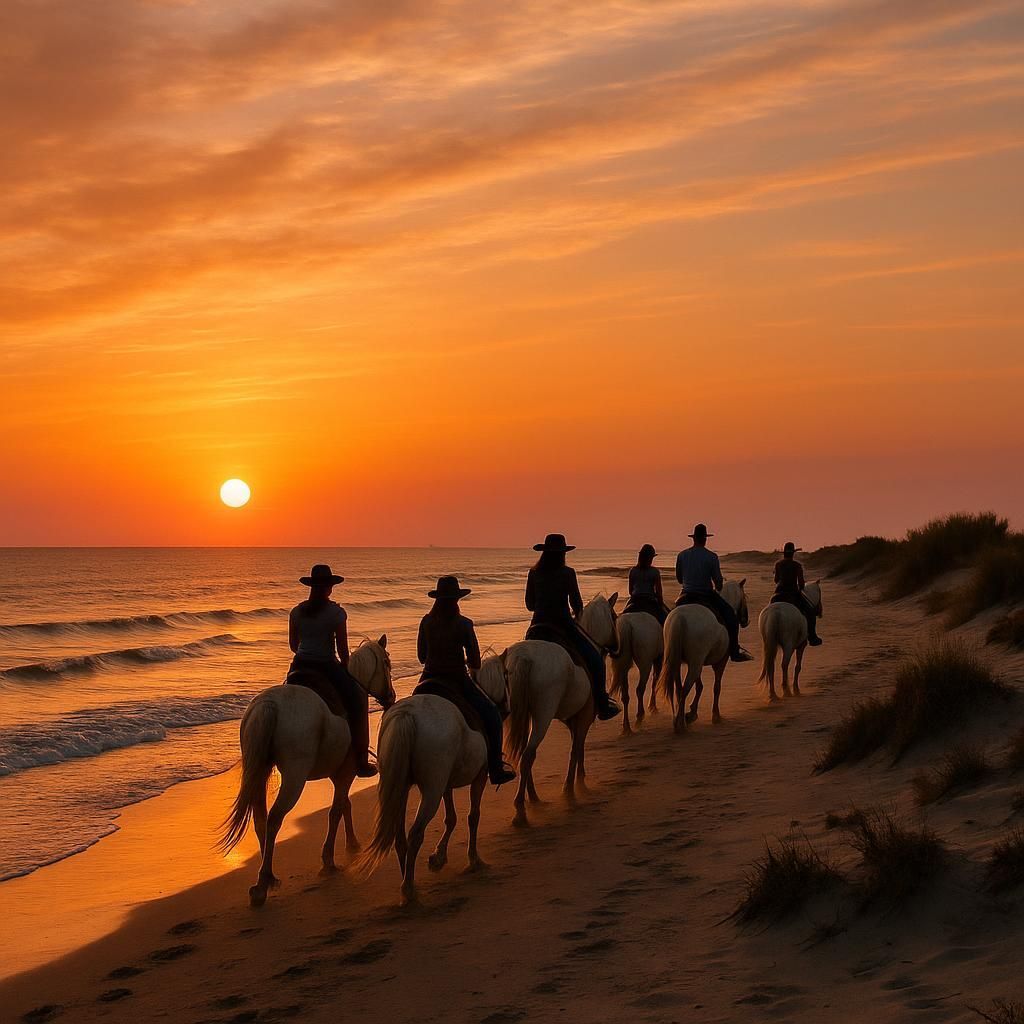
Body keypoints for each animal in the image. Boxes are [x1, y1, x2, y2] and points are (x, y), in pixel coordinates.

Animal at [219, 636, 395, 908]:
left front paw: (352, 844)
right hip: (294, 776)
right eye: (387, 664)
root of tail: (270, 705)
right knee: (274, 818)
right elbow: (336, 810)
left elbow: (345, 805)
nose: (391, 697)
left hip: (259, 770)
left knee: (260, 820)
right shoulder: (345, 773)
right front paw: (329, 860)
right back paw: (262, 884)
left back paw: (267, 876)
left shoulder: (339, 774)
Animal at [357, 653, 509, 905]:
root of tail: (407, 715)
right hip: (431, 790)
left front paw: (438, 858)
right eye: (507, 675)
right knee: (415, 833)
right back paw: (408, 889)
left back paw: (407, 880)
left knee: (400, 837)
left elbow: (451, 818)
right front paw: (474, 860)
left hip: (402, 787)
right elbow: (472, 816)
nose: (505, 709)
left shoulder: (445, 784)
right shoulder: (479, 776)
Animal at [503, 593, 619, 827]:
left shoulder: (574, 720)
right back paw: (521, 809)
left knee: (525, 754)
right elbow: (576, 749)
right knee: (528, 755)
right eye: (614, 617)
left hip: (525, 715)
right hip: (543, 715)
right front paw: (573, 789)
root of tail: (524, 658)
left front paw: (577, 784)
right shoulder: (583, 718)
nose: (617, 648)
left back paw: (534, 799)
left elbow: (578, 748)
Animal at [656, 580, 750, 734]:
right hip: (695, 663)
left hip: (678, 661)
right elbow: (716, 687)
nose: (745, 620)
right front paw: (716, 716)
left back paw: (679, 719)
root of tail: (680, 618)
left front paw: (692, 713)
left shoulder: (696, 662)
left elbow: (699, 686)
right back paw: (680, 724)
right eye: (745, 597)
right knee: (685, 688)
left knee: (679, 688)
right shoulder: (720, 661)